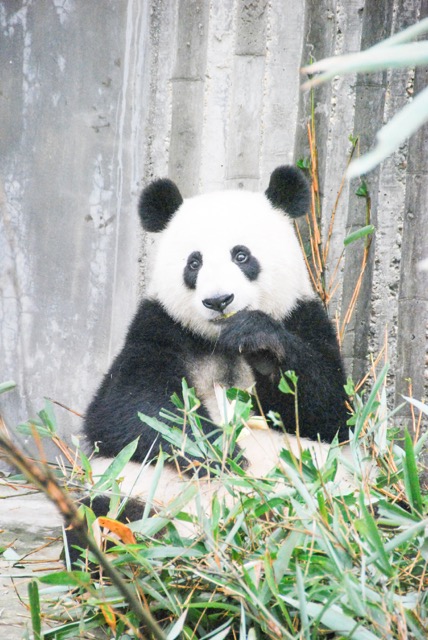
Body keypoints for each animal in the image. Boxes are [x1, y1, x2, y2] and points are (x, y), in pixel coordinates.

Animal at [74, 166, 348, 544]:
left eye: (241, 255)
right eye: (194, 262)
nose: (218, 300)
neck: (220, 341)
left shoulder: (303, 317)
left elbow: (330, 412)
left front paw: (261, 343)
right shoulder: (159, 327)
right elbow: (127, 409)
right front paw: (221, 455)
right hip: (132, 493)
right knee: (100, 518)